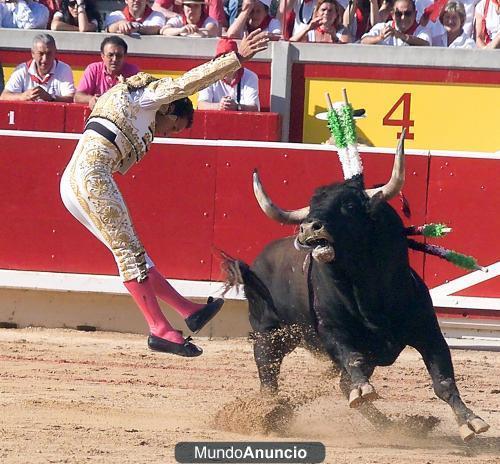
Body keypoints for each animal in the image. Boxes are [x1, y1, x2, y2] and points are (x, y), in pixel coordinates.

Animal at [224, 140, 488, 438]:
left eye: (348, 204)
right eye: (312, 206)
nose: (308, 227)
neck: (370, 296)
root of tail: (255, 262)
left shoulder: (428, 332)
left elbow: (443, 380)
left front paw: (470, 421)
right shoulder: (333, 333)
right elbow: (352, 361)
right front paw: (363, 388)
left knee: (341, 385)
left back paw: (392, 426)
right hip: (268, 334)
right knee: (268, 375)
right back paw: (268, 414)